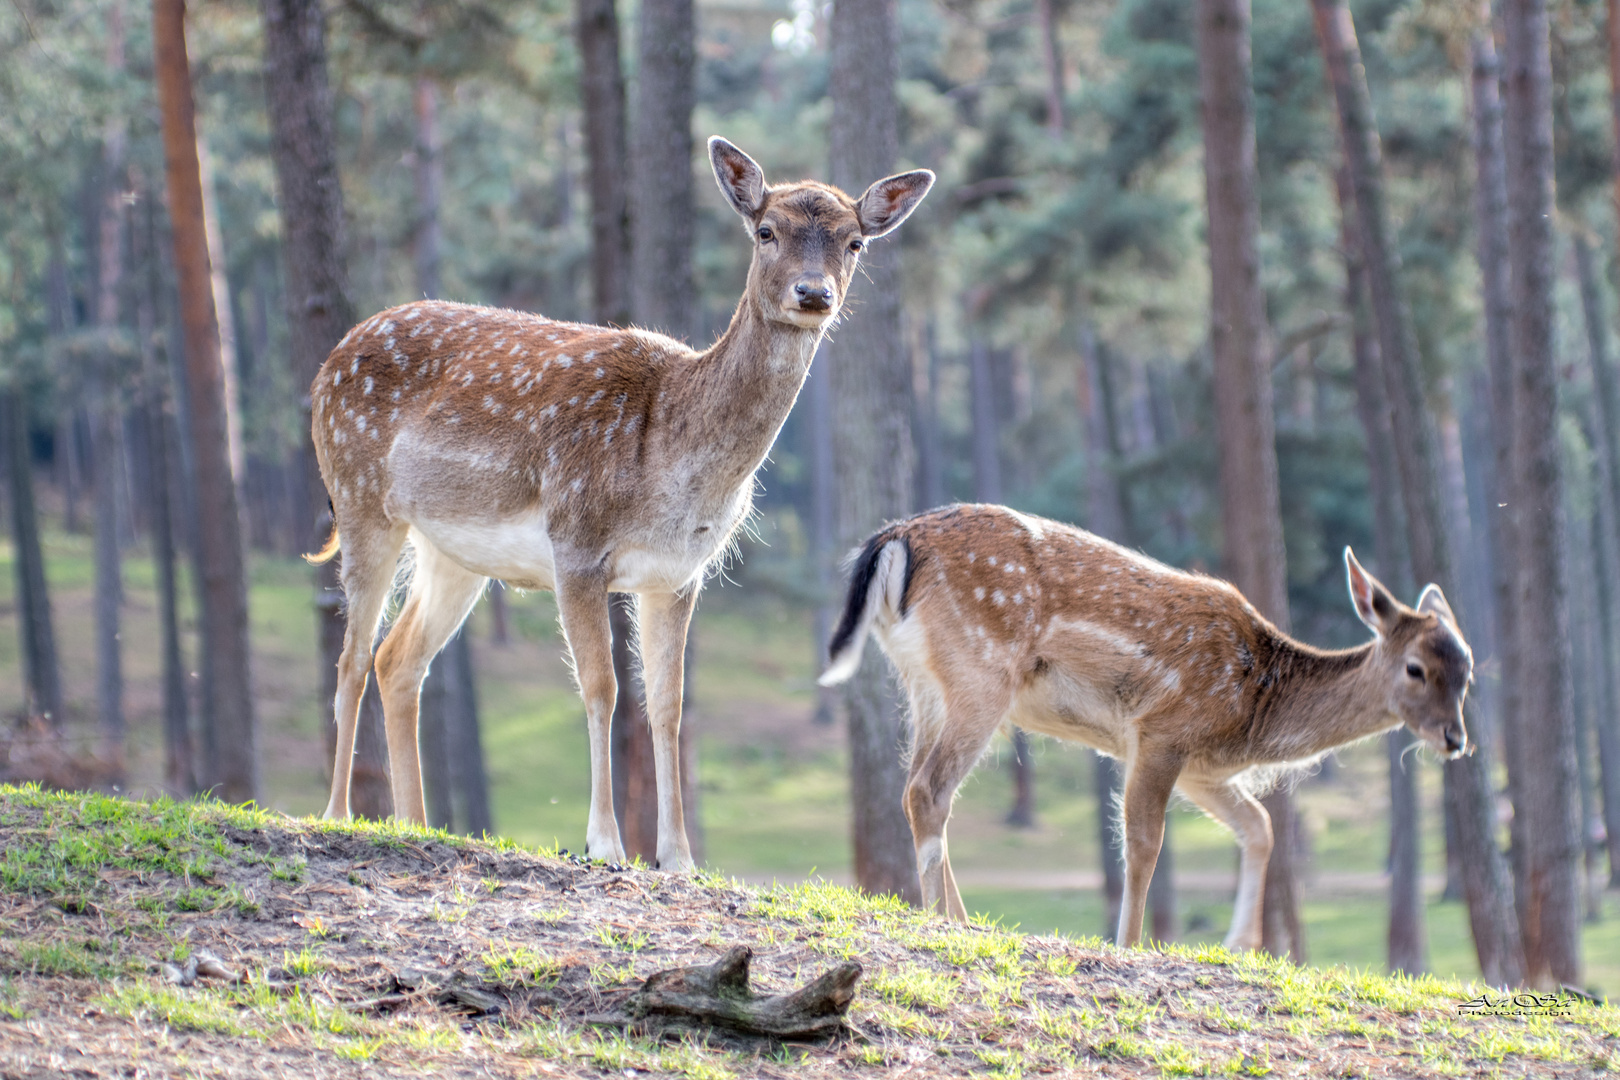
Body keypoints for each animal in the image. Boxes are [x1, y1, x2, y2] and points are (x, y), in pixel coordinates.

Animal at [307, 139, 933, 874]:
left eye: (854, 241)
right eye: (766, 231)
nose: (814, 294)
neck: (671, 455)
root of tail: (330, 362)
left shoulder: (679, 574)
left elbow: (667, 705)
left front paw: (679, 857)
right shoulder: (576, 540)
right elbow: (602, 687)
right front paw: (604, 843)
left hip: (452, 551)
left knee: (398, 659)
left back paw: (415, 823)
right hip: (358, 493)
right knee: (351, 657)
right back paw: (337, 813)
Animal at [816, 505, 1477, 945]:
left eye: (1469, 668)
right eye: (1416, 668)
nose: (1456, 740)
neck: (1252, 713)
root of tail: (894, 540)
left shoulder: (1203, 772)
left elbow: (1259, 827)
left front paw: (1241, 946)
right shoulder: (1163, 731)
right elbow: (1142, 843)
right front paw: (1130, 944)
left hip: (927, 686)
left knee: (917, 785)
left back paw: (961, 916)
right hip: (981, 675)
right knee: (928, 789)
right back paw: (944, 921)